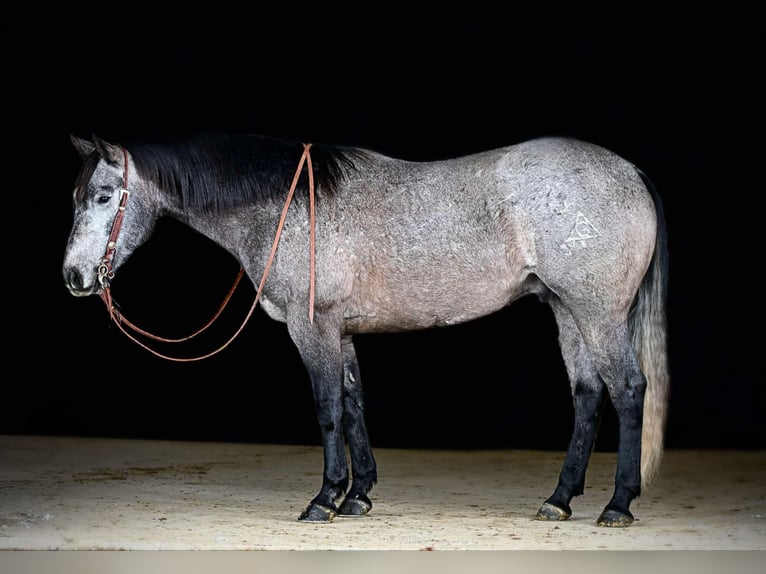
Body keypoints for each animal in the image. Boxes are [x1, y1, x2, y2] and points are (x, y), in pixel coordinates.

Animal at [63, 133, 668, 528]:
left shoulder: (313, 330)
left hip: (598, 312)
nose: (73, 277)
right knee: (588, 394)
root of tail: (632, 173)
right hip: (568, 310)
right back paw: (559, 499)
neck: (289, 205)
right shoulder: (343, 333)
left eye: (103, 196)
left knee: (627, 389)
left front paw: (324, 499)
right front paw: (358, 496)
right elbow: (354, 405)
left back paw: (618, 505)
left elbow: (328, 406)